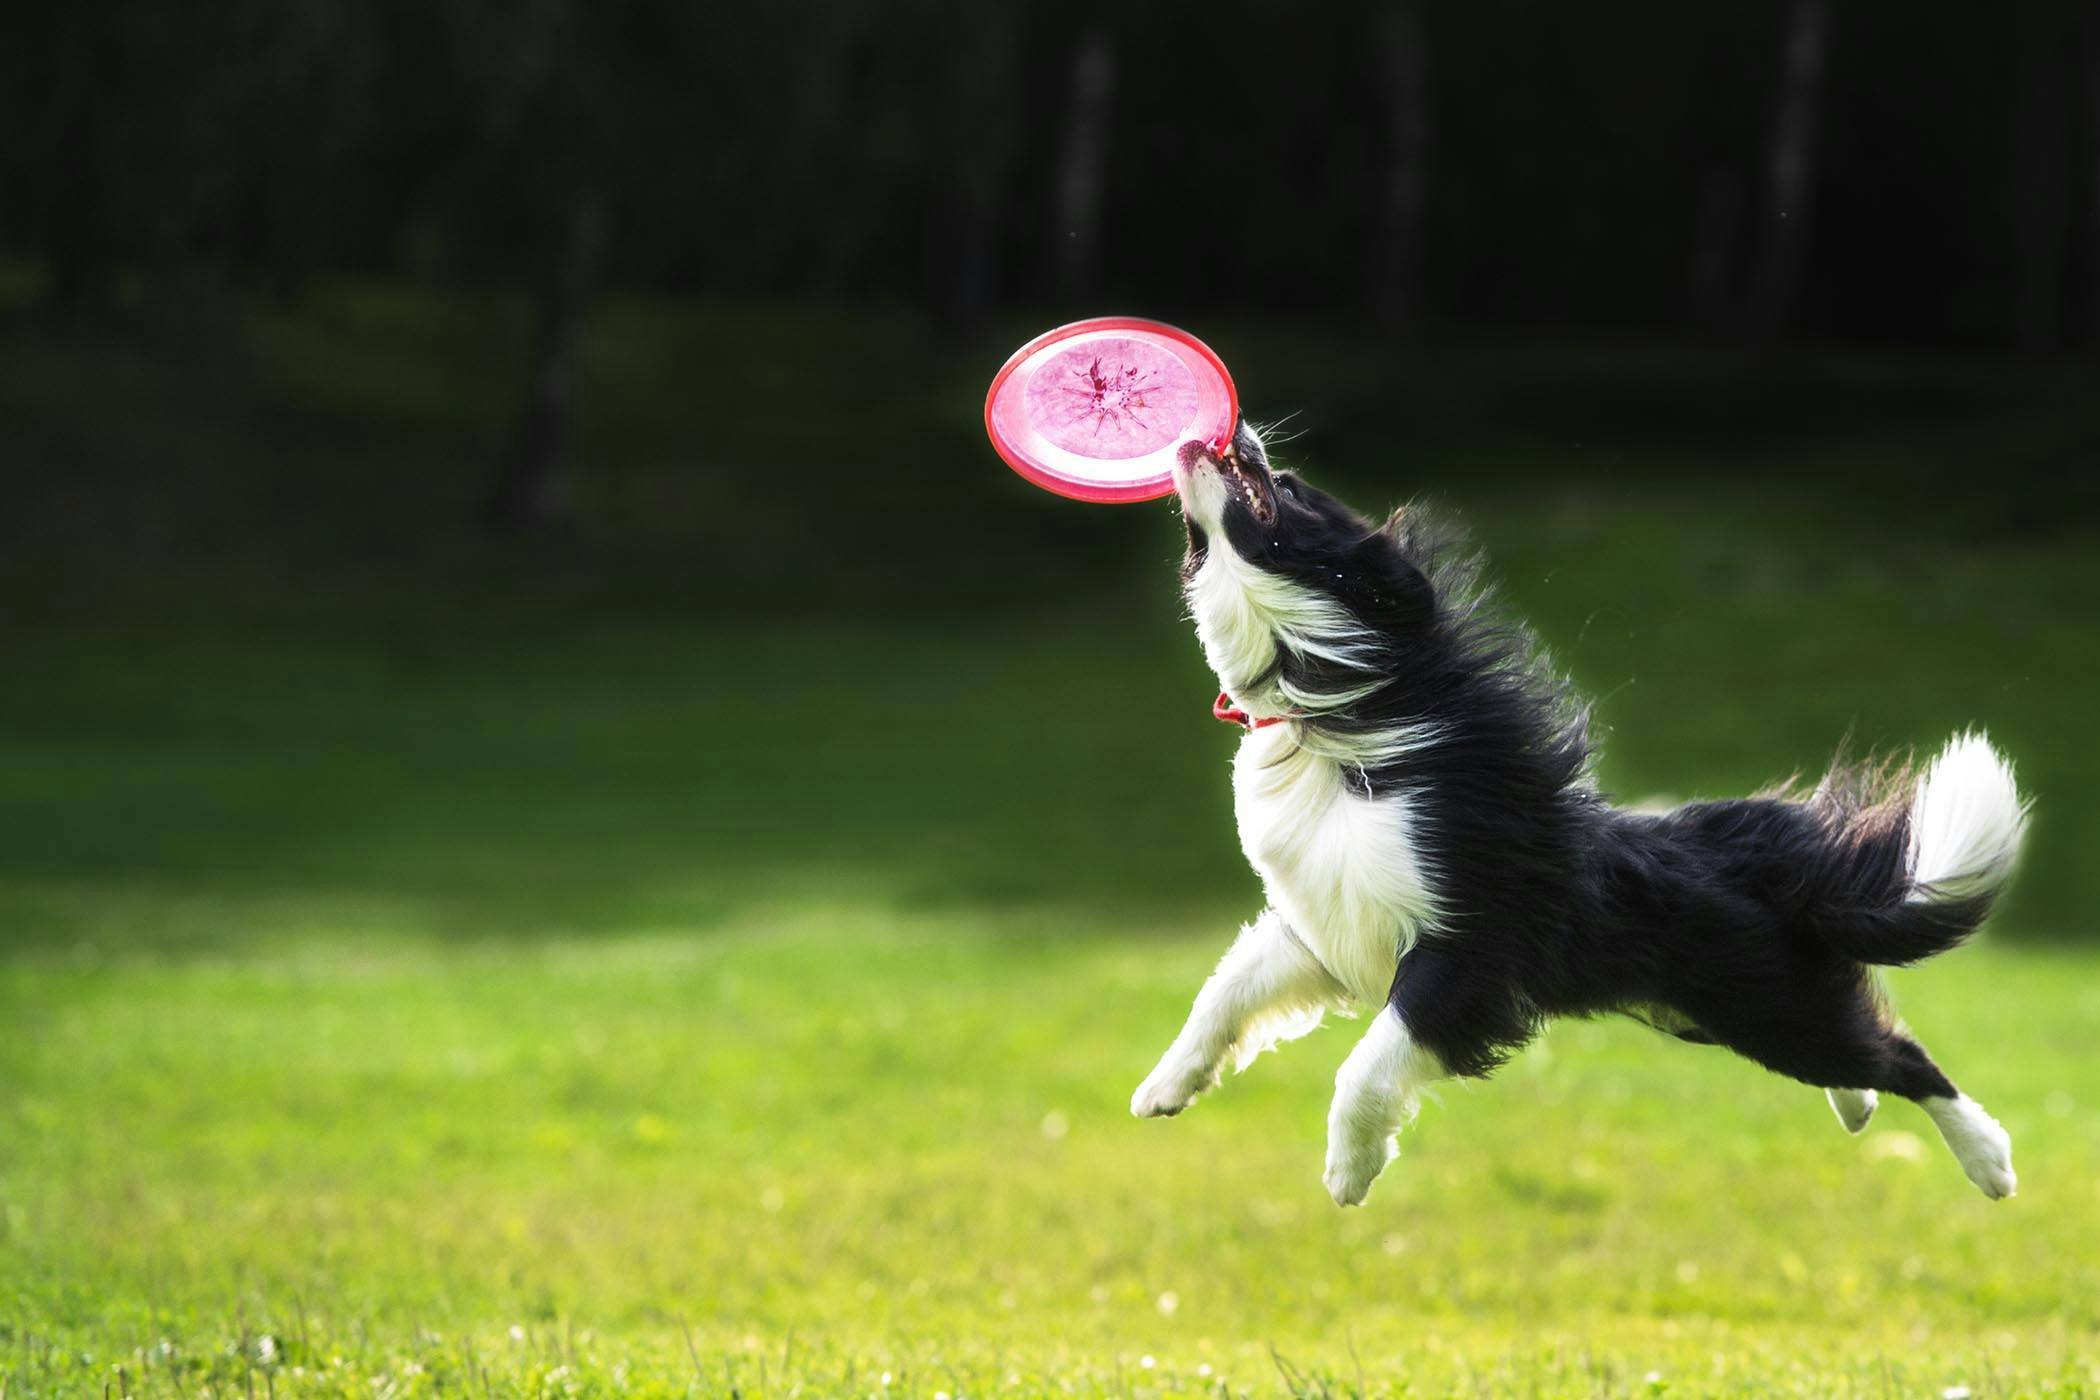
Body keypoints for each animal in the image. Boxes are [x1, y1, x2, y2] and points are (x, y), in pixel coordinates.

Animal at [1142, 421, 2024, 1208]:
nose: (1236, 434)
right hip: (1718, 1008)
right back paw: (1861, 1108)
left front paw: (1348, 1175)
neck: (1334, 703)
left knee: (1900, 1056)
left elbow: (1364, 1065)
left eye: (1288, 491)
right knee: (1864, 1047)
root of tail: (1746, 855)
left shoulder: (1464, 949)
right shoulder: (1324, 923)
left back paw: (1990, 1162)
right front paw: (1162, 1089)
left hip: (1765, 1003)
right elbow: (1225, 989)